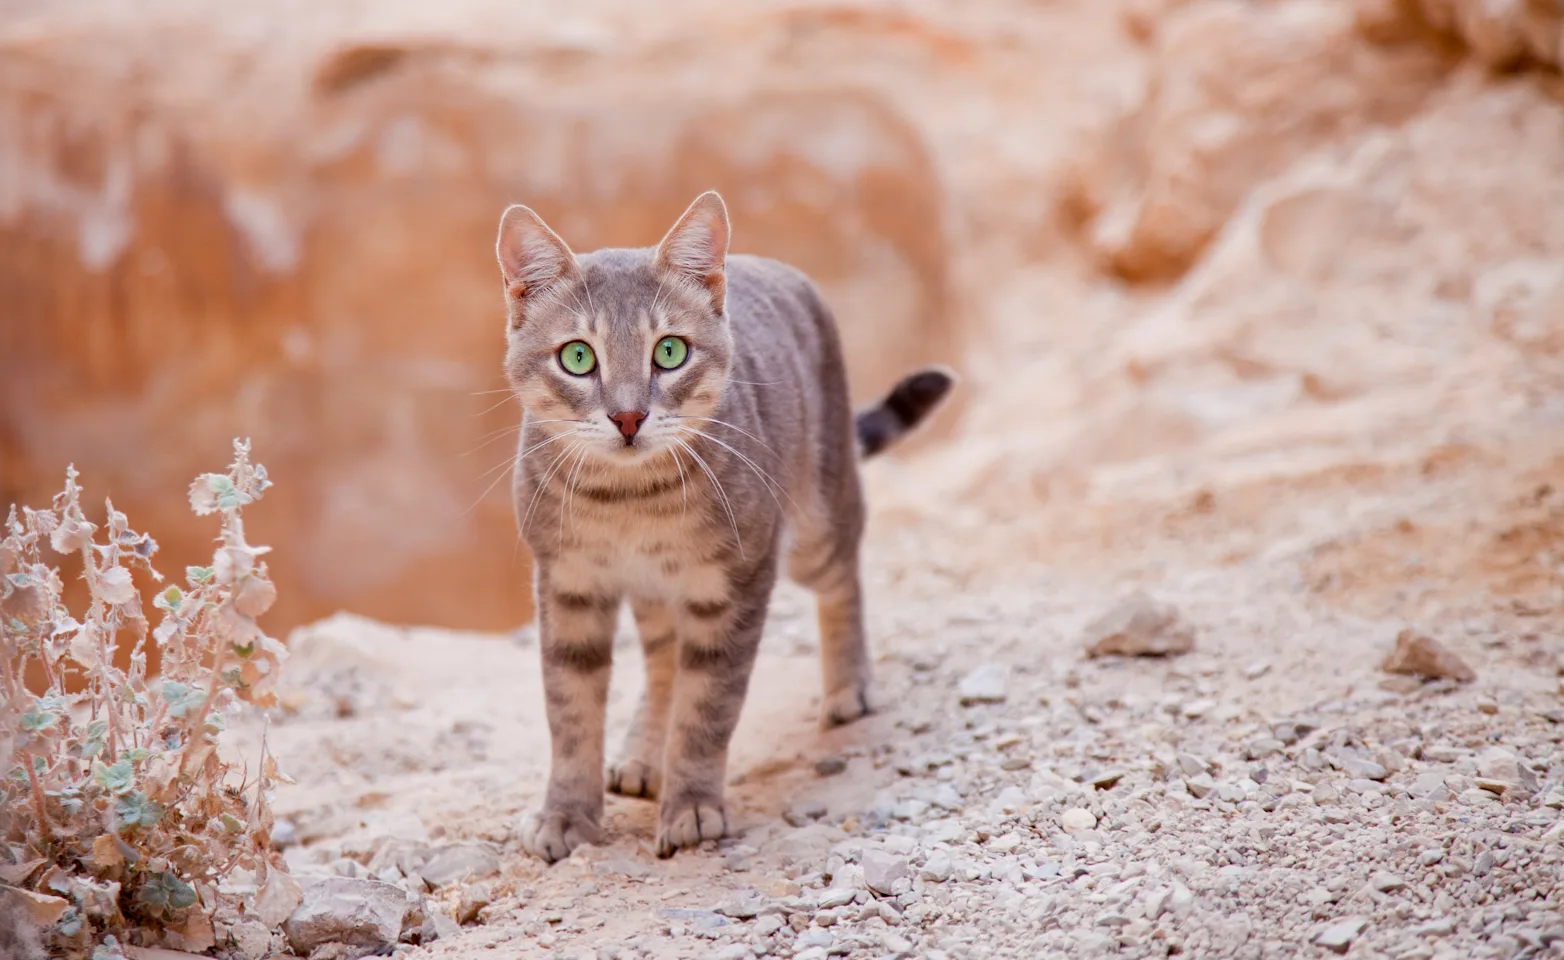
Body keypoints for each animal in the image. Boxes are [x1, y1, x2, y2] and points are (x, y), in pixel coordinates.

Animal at [494, 191, 950, 863]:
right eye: (577, 357)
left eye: (669, 351)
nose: (627, 417)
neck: (628, 502)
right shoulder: (566, 584)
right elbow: (570, 714)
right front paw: (566, 814)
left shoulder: (735, 583)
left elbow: (707, 707)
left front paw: (692, 807)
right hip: (660, 592)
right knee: (662, 661)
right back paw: (641, 753)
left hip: (818, 518)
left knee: (843, 581)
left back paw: (849, 689)